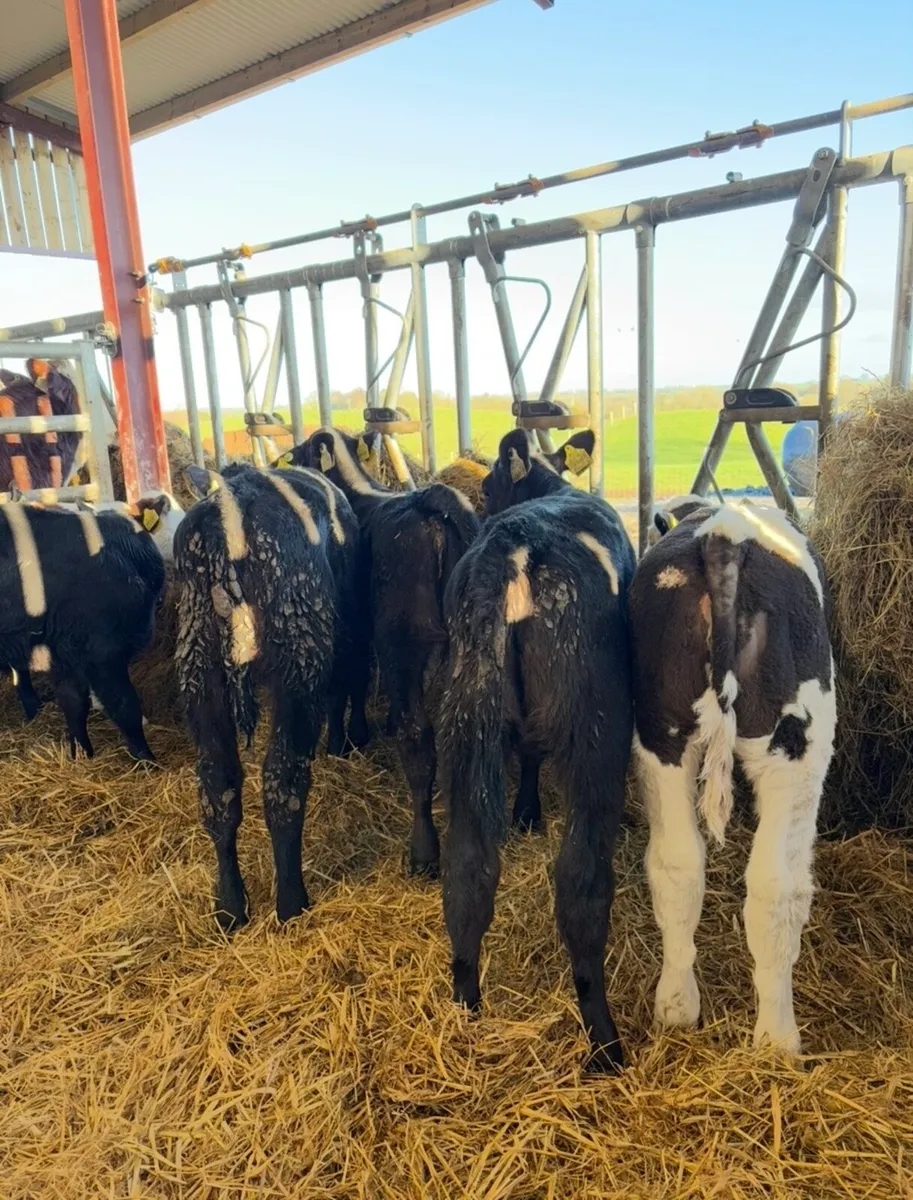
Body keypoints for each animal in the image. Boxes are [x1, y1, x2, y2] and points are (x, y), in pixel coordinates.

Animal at [0, 492, 182, 760]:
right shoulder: (104, 651)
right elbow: (125, 706)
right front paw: (146, 760)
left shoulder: (62, 651)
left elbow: (73, 701)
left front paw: (80, 753)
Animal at [174, 461, 368, 931]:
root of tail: (229, 527)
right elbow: (343, 690)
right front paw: (341, 743)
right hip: (299, 650)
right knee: (283, 783)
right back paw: (291, 904)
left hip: (197, 659)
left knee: (218, 786)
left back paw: (230, 908)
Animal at [286, 427, 480, 879]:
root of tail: (427, 503)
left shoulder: (349, 626)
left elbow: (343, 684)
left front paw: (341, 741)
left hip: (403, 639)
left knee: (418, 736)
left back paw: (424, 852)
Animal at [437, 427, 636, 1072]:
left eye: (492, 481)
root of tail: (515, 549)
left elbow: (526, 754)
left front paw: (525, 812)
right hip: (595, 722)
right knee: (581, 881)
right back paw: (604, 1043)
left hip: (466, 713)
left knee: (468, 866)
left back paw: (466, 1008)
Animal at [628, 497, 836, 1055]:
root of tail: (724, 534)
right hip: (794, 750)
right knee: (776, 885)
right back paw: (778, 1039)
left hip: (662, 737)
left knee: (677, 864)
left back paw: (677, 1007)